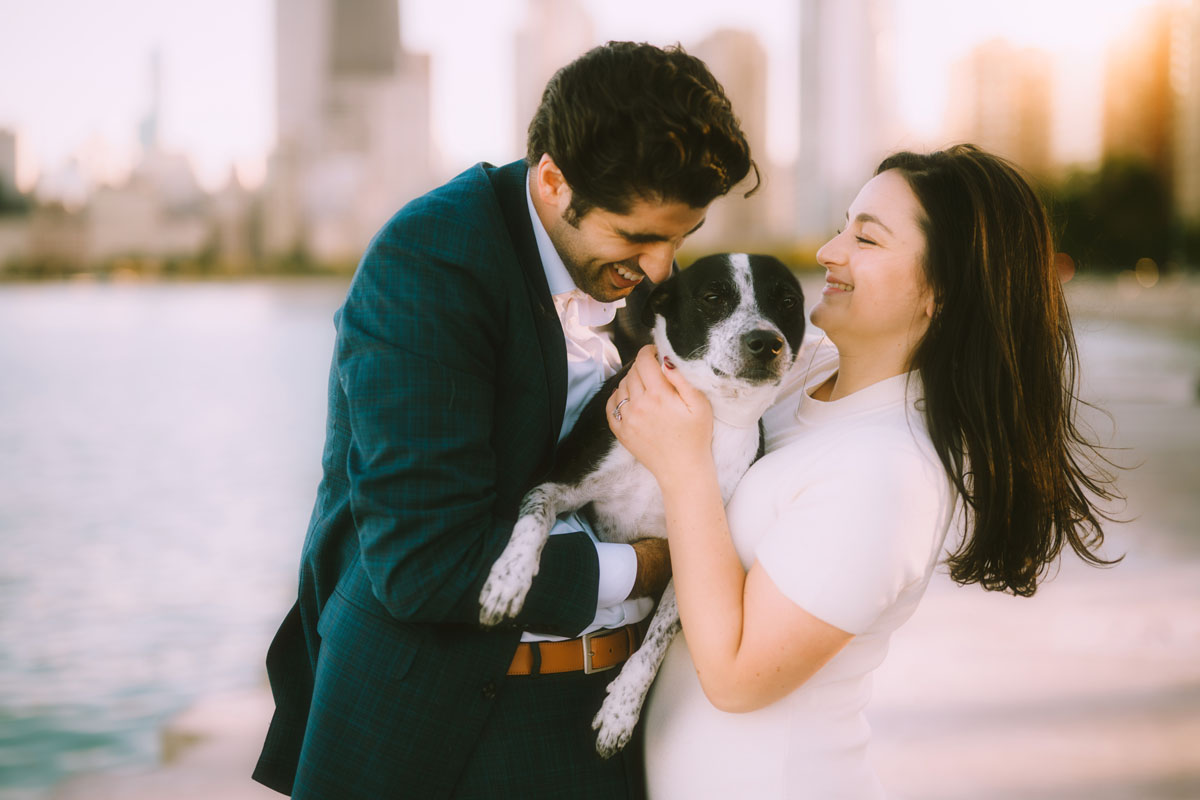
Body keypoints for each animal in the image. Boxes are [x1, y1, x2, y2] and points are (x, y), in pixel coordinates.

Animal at [477, 255, 806, 758]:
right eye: (713, 297)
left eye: (787, 302)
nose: (766, 342)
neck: (707, 415)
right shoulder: (558, 484)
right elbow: (533, 518)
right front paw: (507, 581)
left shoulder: (687, 559)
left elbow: (656, 639)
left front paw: (621, 711)